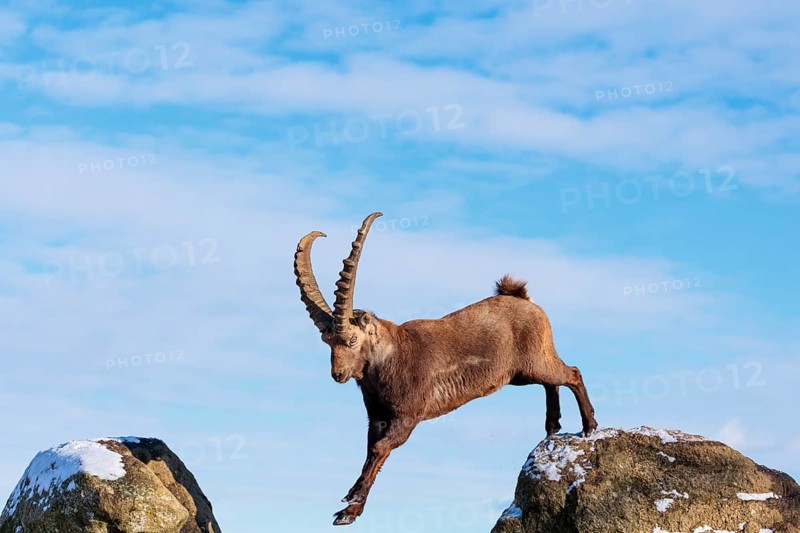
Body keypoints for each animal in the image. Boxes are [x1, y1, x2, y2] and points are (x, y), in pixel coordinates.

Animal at [294, 212, 598, 526]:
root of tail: (524, 299)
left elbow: (379, 449)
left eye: (352, 340)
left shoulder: (407, 416)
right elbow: (370, 450)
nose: (338, 375)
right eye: (327, 341)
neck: (390, 358)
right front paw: (350, 505)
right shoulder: (377, 417)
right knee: (552, 382)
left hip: (535, 361)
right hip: (522, 373)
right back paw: (553, 426)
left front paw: (351, 503)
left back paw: (589, 426)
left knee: (572, 373)